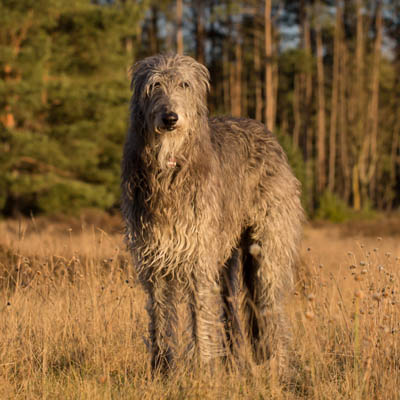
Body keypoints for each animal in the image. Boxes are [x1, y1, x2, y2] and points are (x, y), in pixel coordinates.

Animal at [121, 54, 304, 376]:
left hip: (268, 246)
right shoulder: (155, 259)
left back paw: (281, 369)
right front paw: (162, 371)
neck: (169, 170)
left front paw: (203, 372)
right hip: (227, 257)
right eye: (154, 85)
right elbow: (162, 315)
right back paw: (233, 364)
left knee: (270, 305)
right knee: (230, 310)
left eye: (184, 84)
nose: (170, 118)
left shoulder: (199, 255)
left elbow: (201, 317)